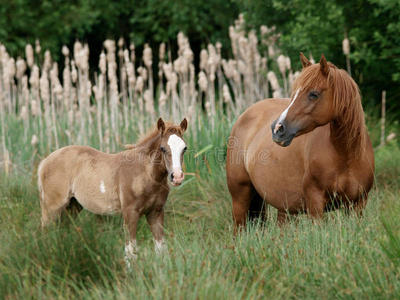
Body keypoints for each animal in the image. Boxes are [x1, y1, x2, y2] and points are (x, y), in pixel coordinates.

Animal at [38, 118, 188, 260]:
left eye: (184, 148)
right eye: (162, 148)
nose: (177, 177)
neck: (145, 173)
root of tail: (45, 162)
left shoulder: (156, 212)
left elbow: (161, 249)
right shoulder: (130, 214)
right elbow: (131, 253)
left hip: (72, 207)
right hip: (52, 208)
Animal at [228, 54, 376, 230]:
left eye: (314, 94)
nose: (277, 129)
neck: (346, 155)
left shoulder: (358, 203)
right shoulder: (315, 203)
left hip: (283, 208)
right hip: (240, 198)